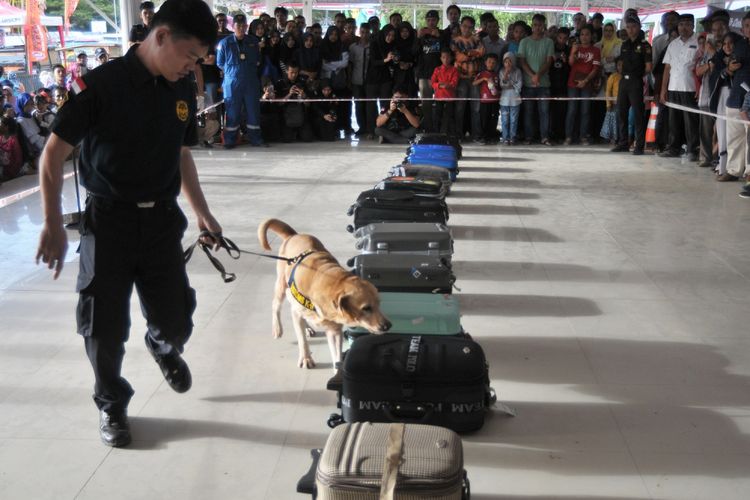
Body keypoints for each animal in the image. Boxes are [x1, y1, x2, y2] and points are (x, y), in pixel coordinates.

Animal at [258, 217, 390, 370]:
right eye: (366, 308)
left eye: (379, 304)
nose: (388, 326)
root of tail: (293, 235)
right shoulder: (298, 313)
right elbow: (302, 340)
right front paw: (306, 358)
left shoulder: (334, 329)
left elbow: (337, 356)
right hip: (281, 285)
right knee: (276, 306)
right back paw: (277, 328)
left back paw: (307, 327)